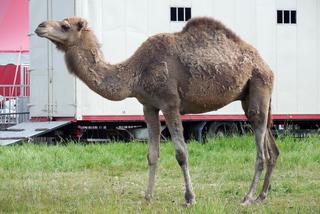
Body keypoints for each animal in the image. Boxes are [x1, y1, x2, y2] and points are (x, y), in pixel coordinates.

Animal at [35, 16, 280, 206]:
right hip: (251, 97)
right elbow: (152, 154)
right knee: (272, 149)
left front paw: (190, 198)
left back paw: (247, 198)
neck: (136, 72)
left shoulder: (170, 103)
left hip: (258, 86)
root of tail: (266, 66)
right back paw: (262, 197)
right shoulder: (148, 106)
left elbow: (181, 153)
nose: (40, 26)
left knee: (261, 152)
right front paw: (147, 197)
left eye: (65, 26)